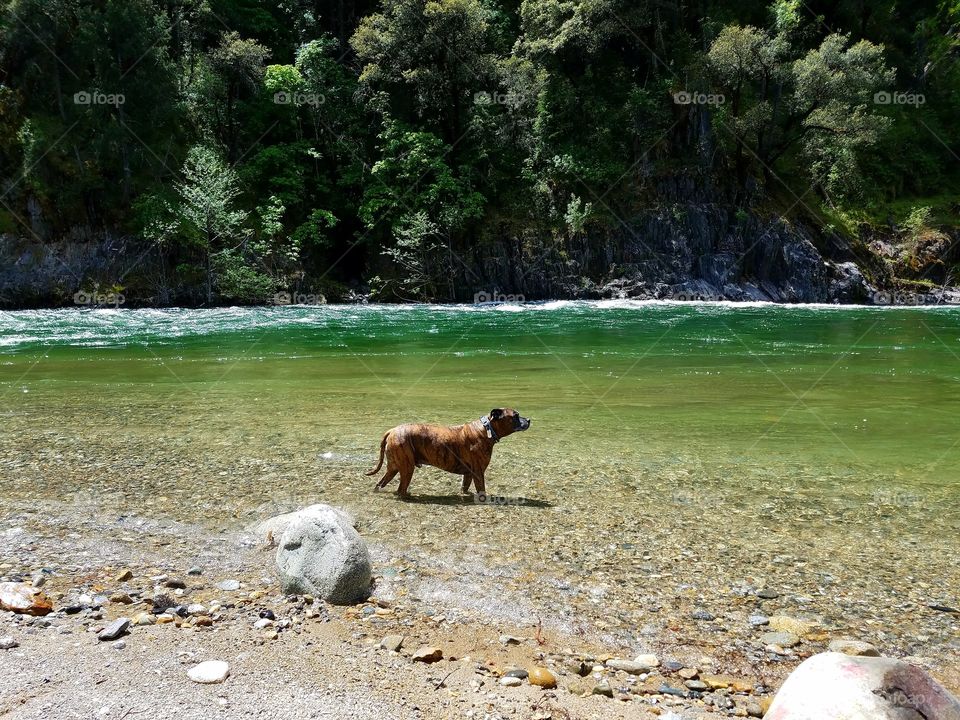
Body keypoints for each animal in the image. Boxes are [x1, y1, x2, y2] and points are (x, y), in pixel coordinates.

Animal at [368, 408, 532, 498]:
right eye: (515, 416)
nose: (529, 419)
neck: (486, 429)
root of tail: (392, 431)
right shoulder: (479, 473)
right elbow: (482, 490)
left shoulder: (468, 474)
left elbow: (464, 487)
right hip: (407, 468)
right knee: (400, 488)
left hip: (394, 467)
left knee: (380, 483)